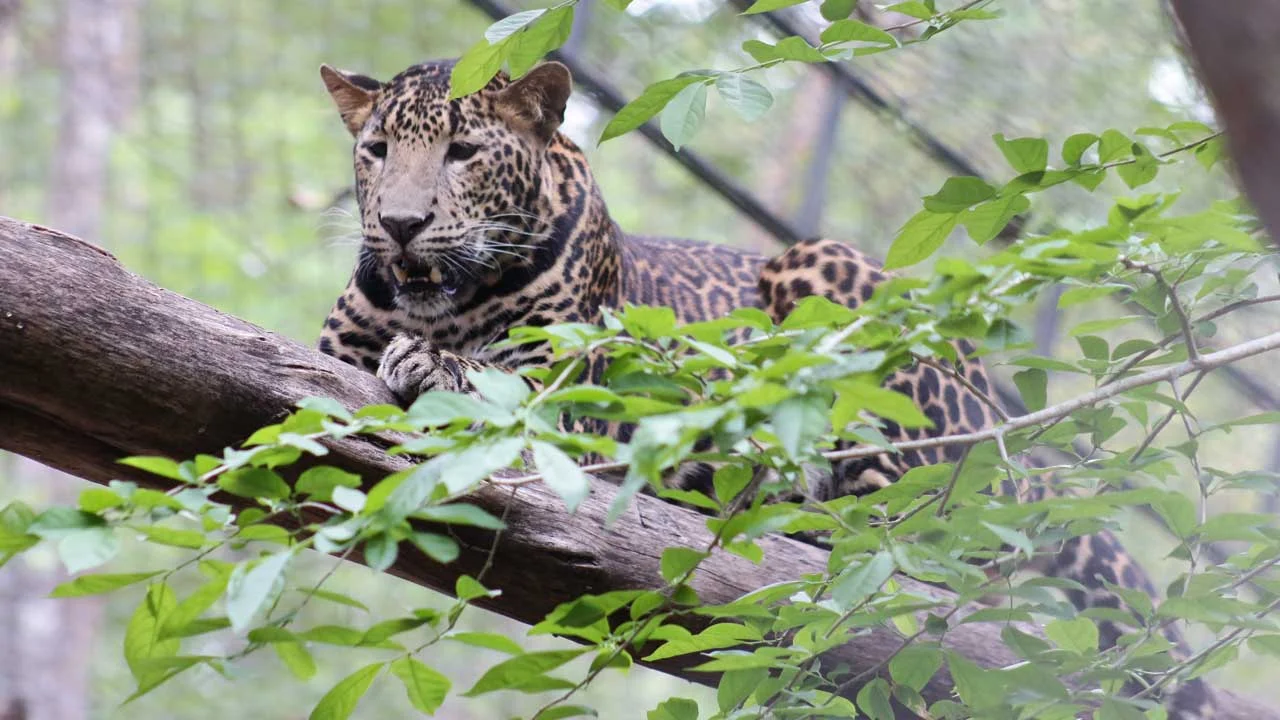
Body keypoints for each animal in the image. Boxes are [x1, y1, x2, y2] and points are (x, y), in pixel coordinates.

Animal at [315, 58, 1214, 719]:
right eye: (377, 151)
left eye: (464, 152)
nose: (400, 225)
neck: (450, 302)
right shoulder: (336, 347)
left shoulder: (586, 410)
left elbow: (506, 384)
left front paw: (436, 366)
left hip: (832, 281)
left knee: (926, 535)